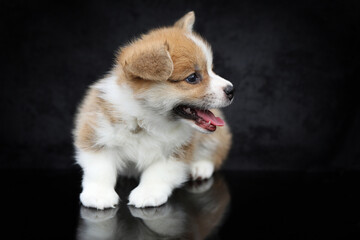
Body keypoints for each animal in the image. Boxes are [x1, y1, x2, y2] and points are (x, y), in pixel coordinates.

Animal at [74, 11, 235, 209]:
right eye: (192, 78)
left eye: (211, 70)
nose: (231, 90)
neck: (145, 119)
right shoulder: (95, 135)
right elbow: (100, 169)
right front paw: (98, 195)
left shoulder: (175, 152)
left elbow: (158, 173)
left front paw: (147, 194)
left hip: (216, 138)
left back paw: (200, 167)